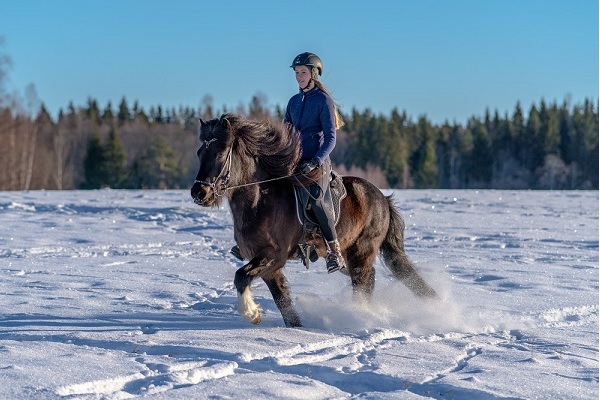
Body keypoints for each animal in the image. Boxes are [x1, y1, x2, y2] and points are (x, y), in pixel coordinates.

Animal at [190, 113, 438, 328]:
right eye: (200, 152)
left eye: (221, 153)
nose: (199, 193)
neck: (260, 202)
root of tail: (382, 199)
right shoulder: (267, 264)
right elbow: (282, 300)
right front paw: (290, 325)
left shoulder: (274, 256)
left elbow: (241, 276)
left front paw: (252, 313)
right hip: (348, 257)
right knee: (369, 278)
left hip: (361, 251)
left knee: (363, 282)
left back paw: (358, 316)